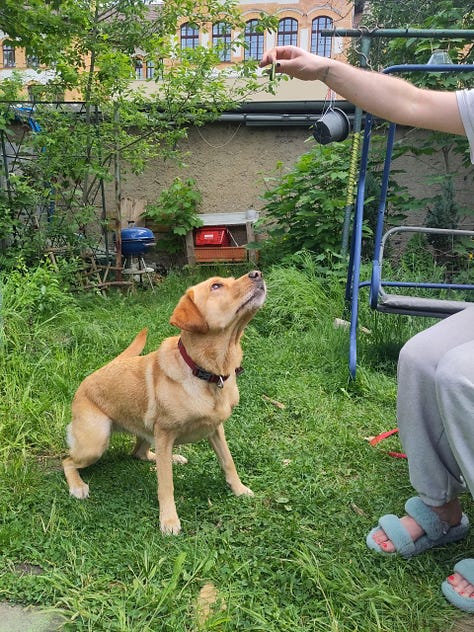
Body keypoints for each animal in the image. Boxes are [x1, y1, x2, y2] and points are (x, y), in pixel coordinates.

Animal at [62, 270, 266, 532]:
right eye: (216, 286)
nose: (257, 273)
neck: (205, 372)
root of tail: (90, 377)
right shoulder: (165, 433)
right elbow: (166, 484)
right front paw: (168, 520)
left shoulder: (215, 429)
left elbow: (228, 462)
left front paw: (239, 489)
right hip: (95, 443)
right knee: (68, 460)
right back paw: (77, 486)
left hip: (145, 432)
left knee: (140, 453)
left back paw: (170, 457)